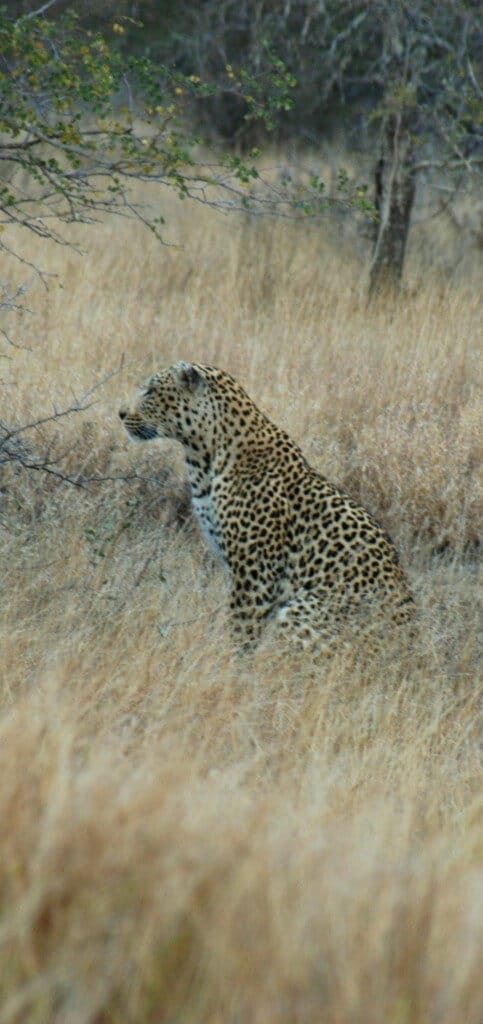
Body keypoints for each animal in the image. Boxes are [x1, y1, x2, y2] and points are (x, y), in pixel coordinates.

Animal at [119, 361, 415, 651]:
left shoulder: (254, 571)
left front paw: (229, 662)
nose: (121, 413)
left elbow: (242, 630)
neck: (203, 457)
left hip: (301, 611)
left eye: (150, 391)